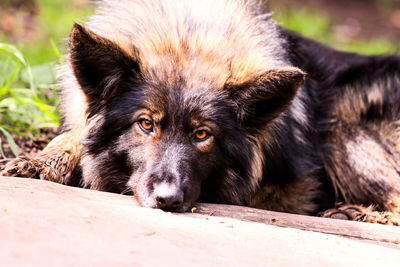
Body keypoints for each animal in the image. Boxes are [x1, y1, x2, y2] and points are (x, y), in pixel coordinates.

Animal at [3, 0, 400, 225]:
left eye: (202, 134)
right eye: (145, 124)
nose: (167, 200)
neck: (188, 35)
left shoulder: (287, 190)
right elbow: (75, 135)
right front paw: (41, 161)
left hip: (344, 133)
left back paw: (359, 214)